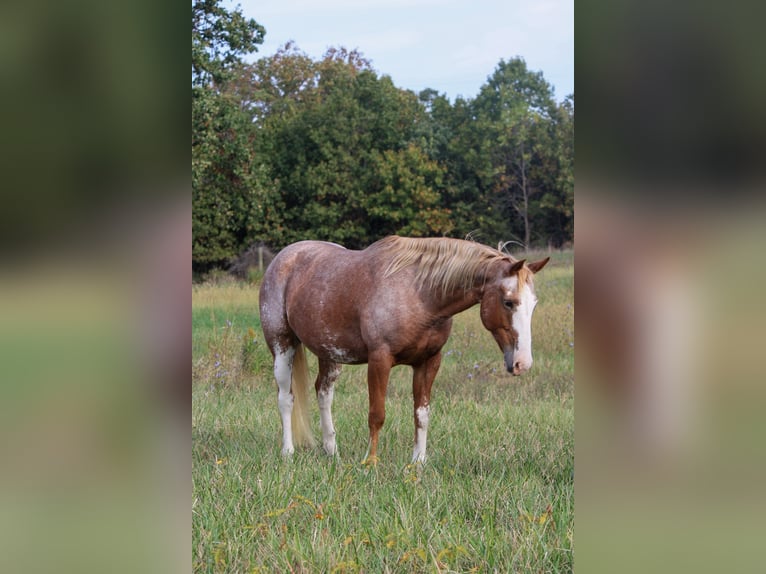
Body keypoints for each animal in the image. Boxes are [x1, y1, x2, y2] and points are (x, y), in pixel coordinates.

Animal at [258, 236, 549, 464]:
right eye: (509, 302)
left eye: (534, 304)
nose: (522, 363)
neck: (420, 295)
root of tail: (284, 257)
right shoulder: (379, 360)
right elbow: (377, 414)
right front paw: (370, 462)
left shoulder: (429, 362)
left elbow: (421, 413)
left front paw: (418, 462)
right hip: (282, 345)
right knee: (286, 398)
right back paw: (288, 452)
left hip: (330, 353)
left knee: (323, 394)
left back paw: (332, 452)